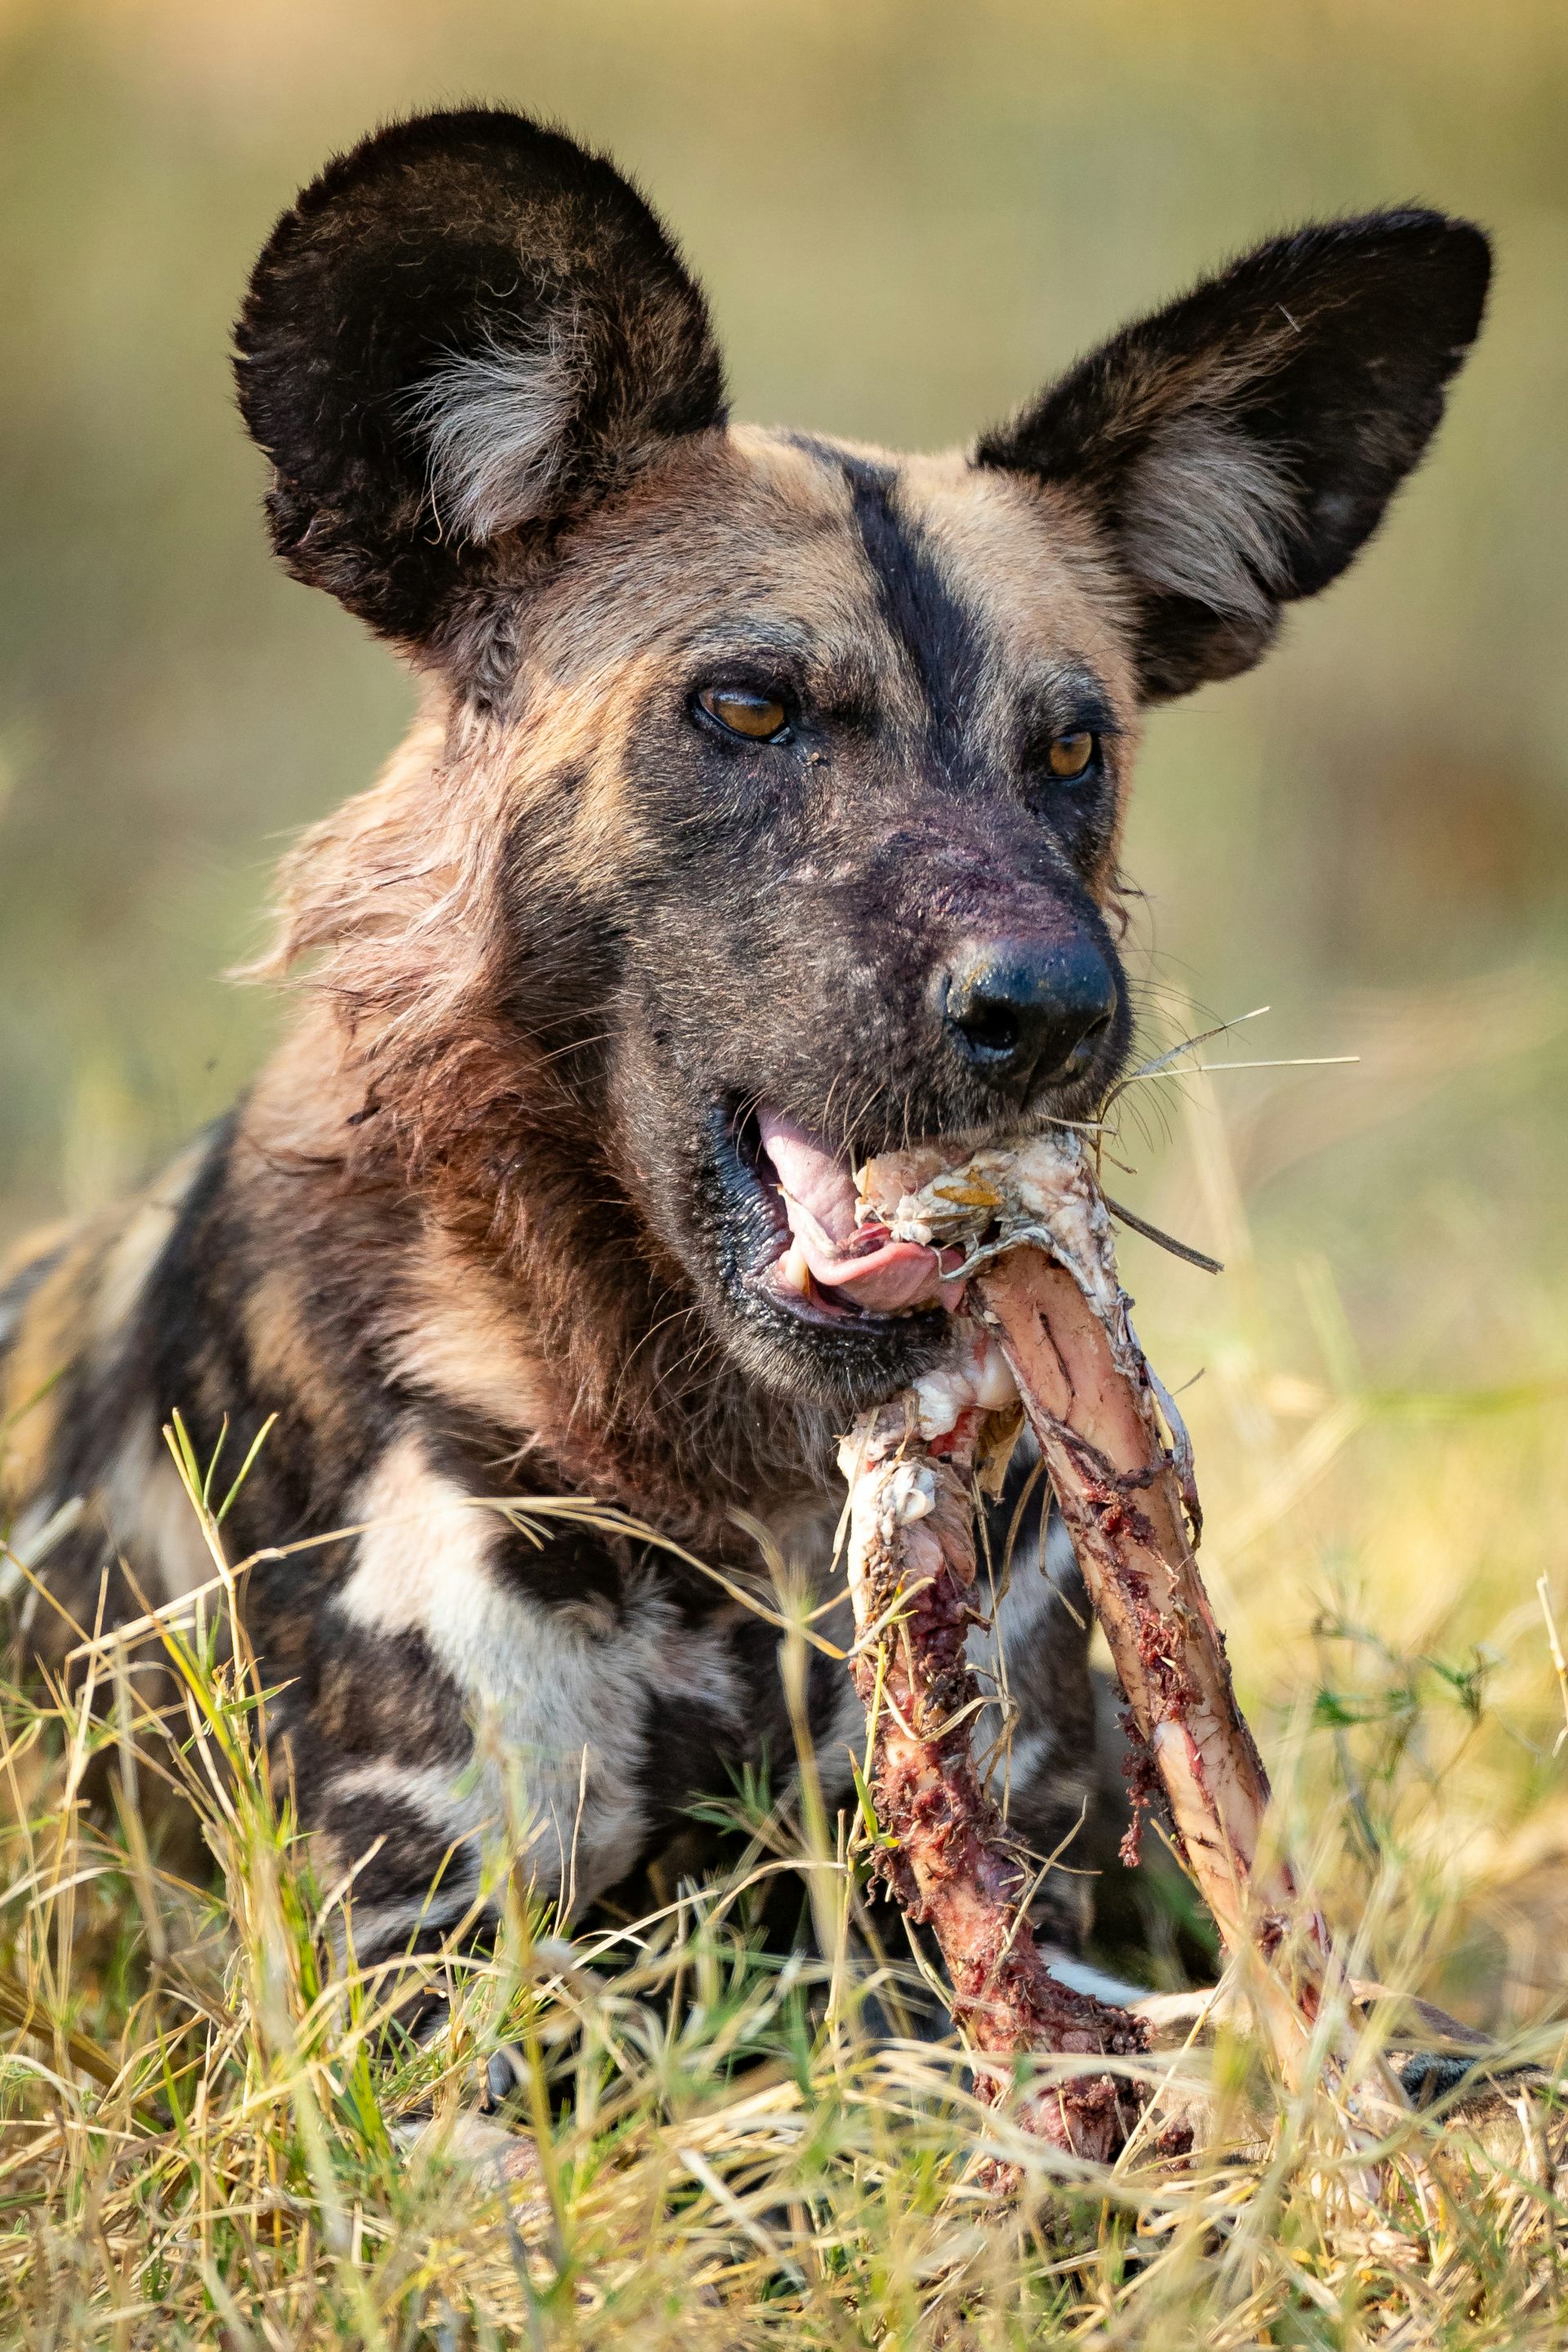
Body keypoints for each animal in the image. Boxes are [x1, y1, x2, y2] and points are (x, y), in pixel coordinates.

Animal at [0, 114, 1494, 2003]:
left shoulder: (1023, 1907)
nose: (1052, 1009)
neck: (733, 1507)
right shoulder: (426, 1969)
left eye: (1072, 749)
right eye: (750, 709)